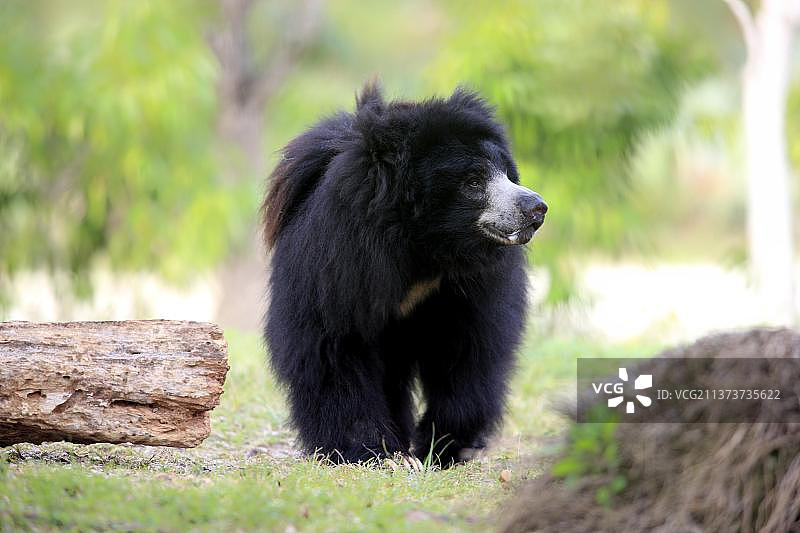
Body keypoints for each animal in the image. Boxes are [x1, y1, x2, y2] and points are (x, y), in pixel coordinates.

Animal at [262, 83, 547, 467]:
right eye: (472, 182)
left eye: (506, 174)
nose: (537, 208)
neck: (426, 248)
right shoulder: (338, 263)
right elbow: (333, 346)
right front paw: (372, 451)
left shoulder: (472, 285)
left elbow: (470, 350)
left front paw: (442, 447)